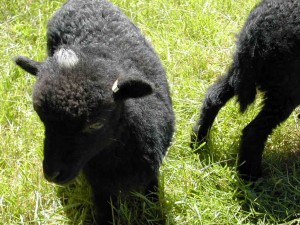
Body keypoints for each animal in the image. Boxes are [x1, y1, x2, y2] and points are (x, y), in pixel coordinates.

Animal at [14, 0, 175, 223]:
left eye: (96, 123)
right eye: (43, 120)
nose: (51, 174)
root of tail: (79, 1)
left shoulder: (151, 172)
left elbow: (153, 202)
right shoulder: (100, 188)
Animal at [191, 0, 300, 180]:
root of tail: (255, 34)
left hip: (237, 69)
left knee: (213, 97)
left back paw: (198, 142)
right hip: (287, 88)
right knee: (253, 132)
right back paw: (251, 177)